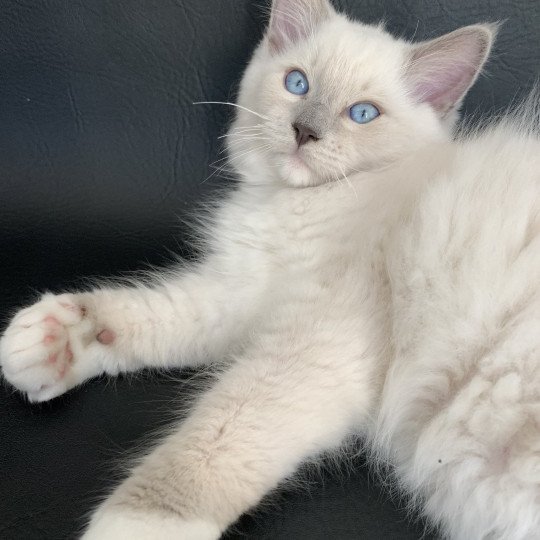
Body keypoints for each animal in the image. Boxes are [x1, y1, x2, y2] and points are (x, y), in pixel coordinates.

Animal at [1, 0, 540, 536]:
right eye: (298, 83)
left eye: (363, 114)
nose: (305, 131)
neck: (295, 204)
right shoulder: (242, 296)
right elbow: (155, 314)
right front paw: (51, 340)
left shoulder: (313, 347)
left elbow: (211, 444)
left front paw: (139, 524)